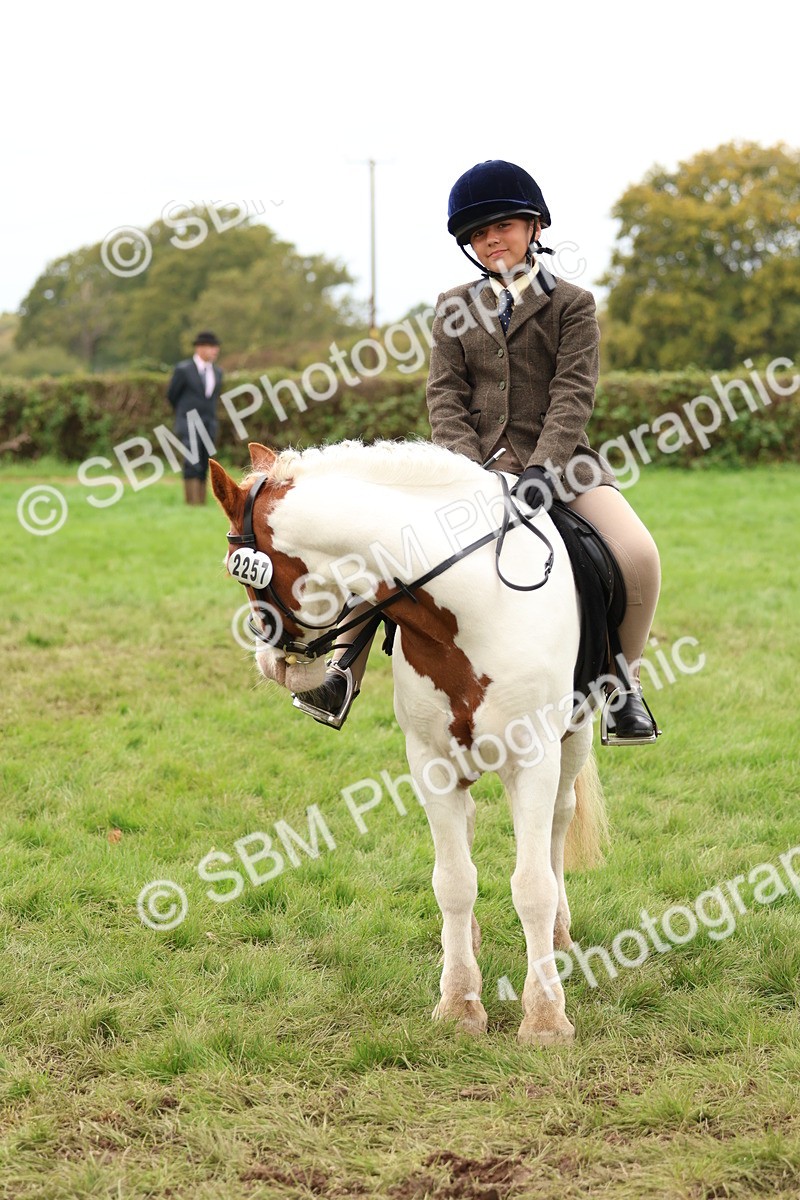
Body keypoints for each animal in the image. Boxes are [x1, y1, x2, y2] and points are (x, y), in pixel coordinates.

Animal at [210, 439, 608, 1045]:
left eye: (253, 580)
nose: (272, 666)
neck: (466, 610)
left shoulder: (534, 757)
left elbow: (532, 884)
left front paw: (545, 1018)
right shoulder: (430, 763)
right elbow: (453, 882)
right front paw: (460, 1003)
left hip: (575, 734)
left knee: (560, 822)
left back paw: (561, 936)